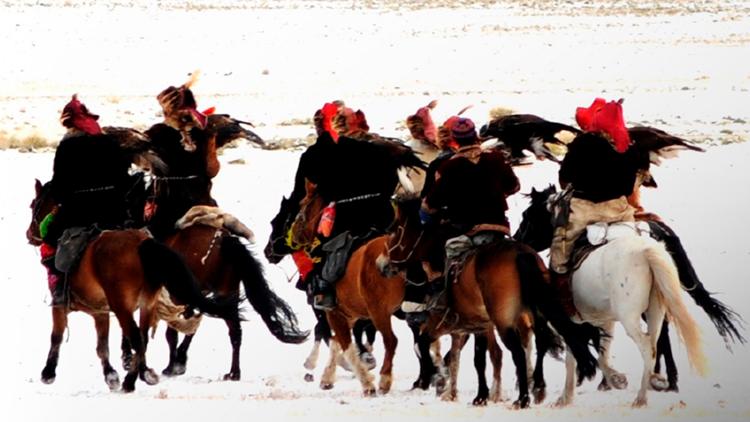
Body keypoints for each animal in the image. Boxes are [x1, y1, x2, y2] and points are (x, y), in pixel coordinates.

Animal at [27, 179, 239, 392]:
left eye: (34, 205)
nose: (29, 234)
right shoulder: (100, 312)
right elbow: (102, 346)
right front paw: (111, 375)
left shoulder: (60, 305)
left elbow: (57, 336)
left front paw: (48, 373)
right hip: (155, 301)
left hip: (126, 305)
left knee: (141, 336)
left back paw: (139, 378)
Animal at [378, 195, 604, 408]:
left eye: (395, 231)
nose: (382, 264)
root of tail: (521, 254)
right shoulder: (479, 325)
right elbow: (479, 359)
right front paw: (480, 395)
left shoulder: (440, 323)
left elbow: (424, 346)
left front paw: (437, 376)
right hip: (536, 312)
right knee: (540, 342)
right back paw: (538, 387)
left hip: (504, 321)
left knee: (518, 352)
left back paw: (522, 398)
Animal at [520, 187, 708, 406]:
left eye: (528, 216)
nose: (517, 239)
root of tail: (645, 252)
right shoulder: (604, 320)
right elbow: (600, 353)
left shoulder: (575, 323)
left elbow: (577, 356)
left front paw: (606, 383)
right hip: (655, 312)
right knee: (655, 343)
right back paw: (657, 381)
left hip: (629, 317)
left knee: (647, 347)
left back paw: (641, 398)